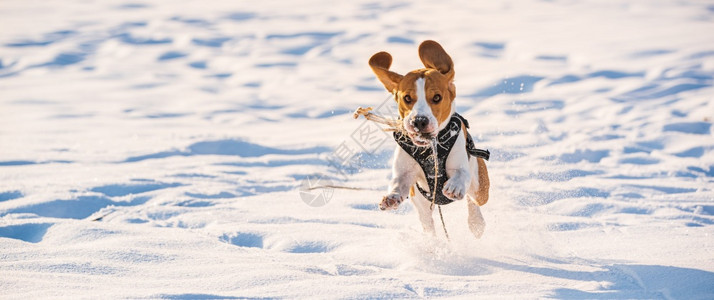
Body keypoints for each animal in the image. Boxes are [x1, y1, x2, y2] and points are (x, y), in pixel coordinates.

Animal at [368, 39, 490, 238]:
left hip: (480, 186)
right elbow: (398, 182)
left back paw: (476, 222)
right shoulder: (405, 174)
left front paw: (455, 187)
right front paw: (392, 197)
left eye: (437, 97)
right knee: (428, 223)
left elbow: (460, 174)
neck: (430, 148)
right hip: (422, 203)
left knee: (473, 198)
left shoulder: (461, 166)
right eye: (407, 98)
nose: (419, 121)